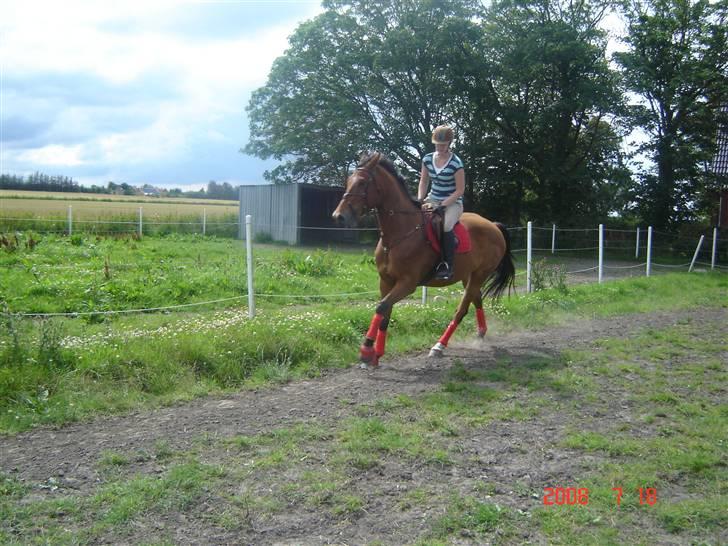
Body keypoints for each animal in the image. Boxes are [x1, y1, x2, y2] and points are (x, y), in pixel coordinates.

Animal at [332, 152, 516, 366]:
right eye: (349, 181)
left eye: (362, 183)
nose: (338, 216)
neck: (399, 235)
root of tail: (493, 226)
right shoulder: (386, 281)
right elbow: (385, 313)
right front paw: (377, 354)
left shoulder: (407, 283)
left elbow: (381, 307)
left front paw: (367, 350)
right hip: (468, 276)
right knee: (477, 299)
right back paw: (480, 334)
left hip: (480, 274)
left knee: (462, 309)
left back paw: (439, 346)